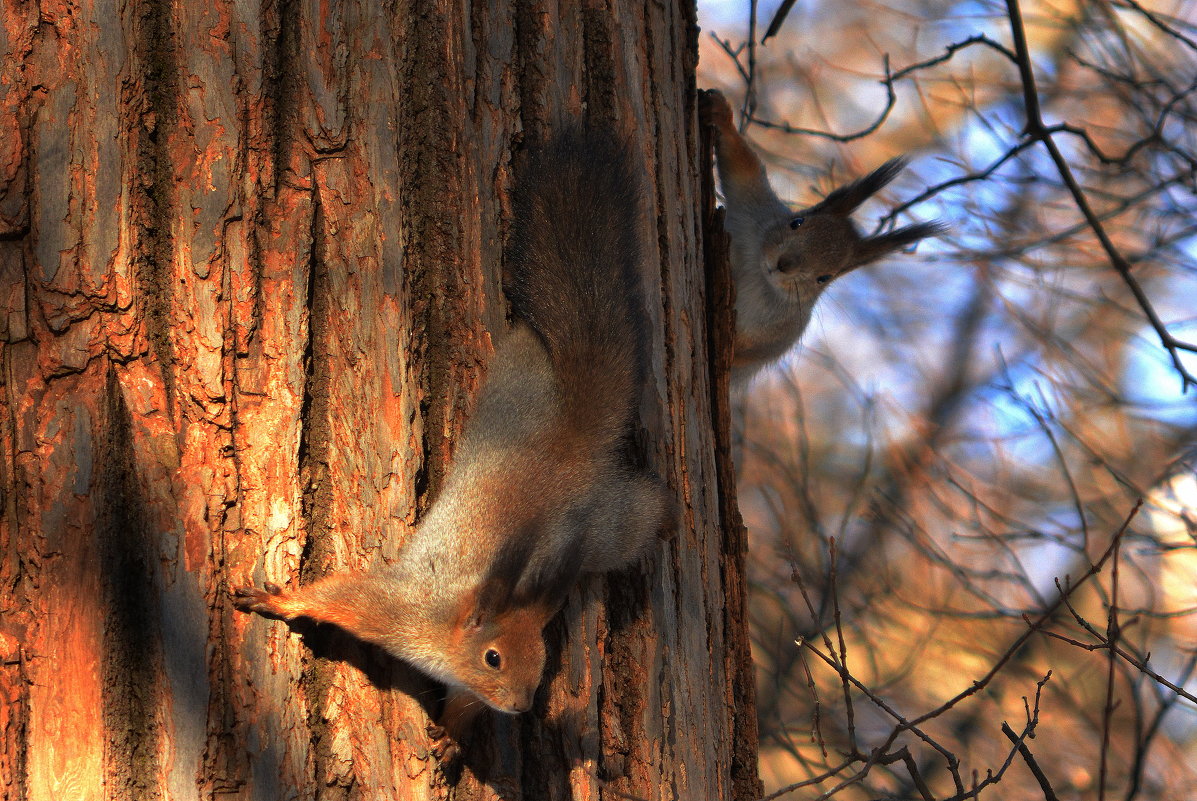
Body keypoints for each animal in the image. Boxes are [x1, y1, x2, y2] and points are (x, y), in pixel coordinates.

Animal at [233, 131, 675, 737]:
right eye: (493, 657)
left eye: (542, 662)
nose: (520, 707)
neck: (446, 632)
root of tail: (574, 438)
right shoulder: (395, 612)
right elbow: (340, 597)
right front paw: (283, 602)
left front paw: (451, 733)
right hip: (526, 385)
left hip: (612, 526)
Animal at [699, 90, 943, 378]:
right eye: (796, 222)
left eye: (824, 278)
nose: (784, 265)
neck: (760, 276)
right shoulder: (755, 209)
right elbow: (742, 168)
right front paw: (719, 112)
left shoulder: (782, 331)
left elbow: (744, 352)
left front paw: (724, 330)